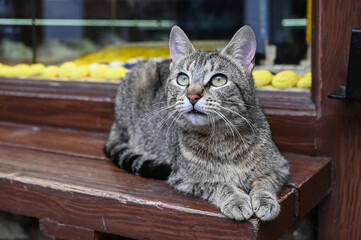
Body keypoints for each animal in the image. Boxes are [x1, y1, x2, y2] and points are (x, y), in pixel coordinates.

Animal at [102, 24, 288, 221]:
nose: (192, 96)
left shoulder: (280, 167)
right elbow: (218, 184)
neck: (221, 138)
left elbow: (263, 181)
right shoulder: (184, 178)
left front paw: (265, 200)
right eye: (182, 78)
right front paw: (236, 200)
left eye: (219, 79)